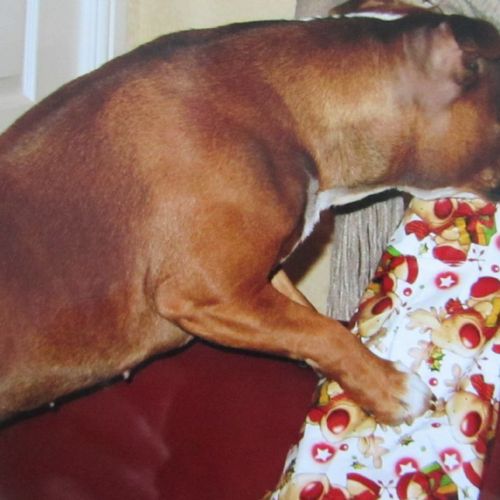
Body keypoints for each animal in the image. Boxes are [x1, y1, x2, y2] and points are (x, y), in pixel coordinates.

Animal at [1, 10, 499, 426]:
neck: (291, 111)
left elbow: (308, 321)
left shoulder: (258, 284)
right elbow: (324, 332)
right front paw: (392, 390)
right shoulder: (207, 294)